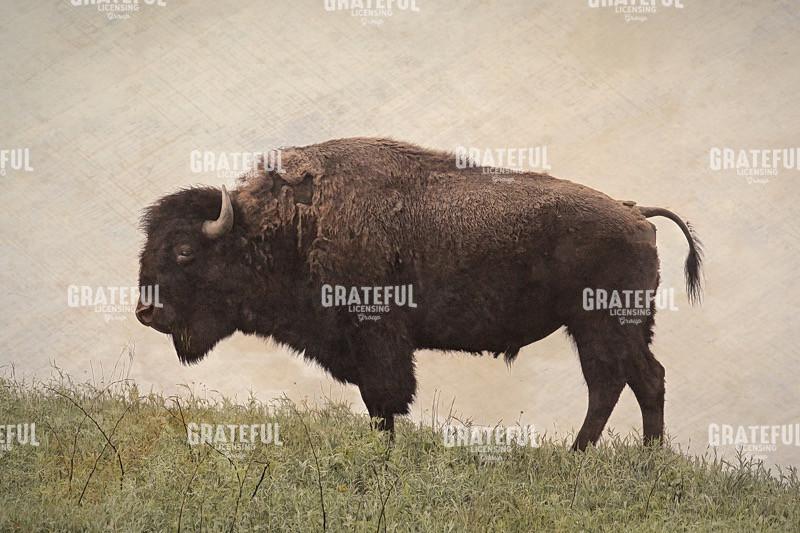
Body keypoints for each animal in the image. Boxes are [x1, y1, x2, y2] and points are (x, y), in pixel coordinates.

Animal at [137, 137, 702, 450]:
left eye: (184, 250)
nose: (146, 311)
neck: (291, 222)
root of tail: (635, 213)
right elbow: (378, 402)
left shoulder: (378, 337)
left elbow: (383, 400)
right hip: (607, 328)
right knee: (629, 382)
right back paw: (619, 458)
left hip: (603, 325)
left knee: (626, 382)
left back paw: (607, 458)